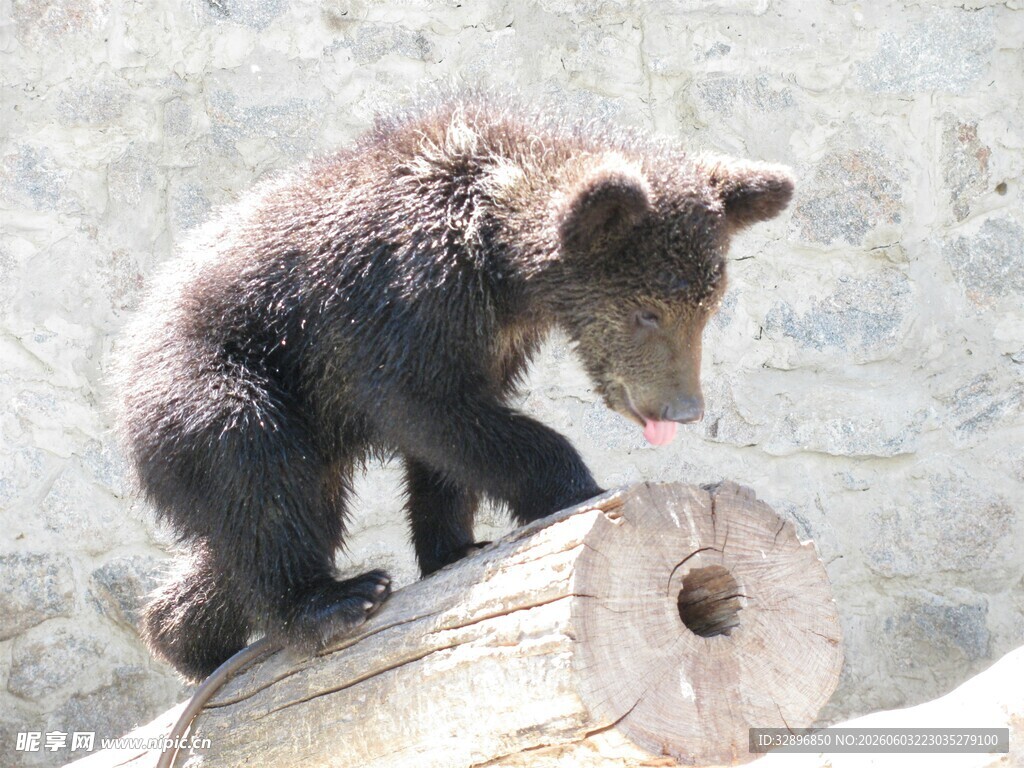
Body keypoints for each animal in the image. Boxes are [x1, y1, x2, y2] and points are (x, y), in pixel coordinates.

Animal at [114, 98, 793, 682]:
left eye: (706, 307)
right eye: (647, 313)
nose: (685, 408)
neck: (500, 262)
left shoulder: (491, 337)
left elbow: (447, 449)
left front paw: (456, 547)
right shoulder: (407, 293)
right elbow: (431, 407)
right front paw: (575, 485)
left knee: (271, 517)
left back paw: (188, 640)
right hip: (224, 377)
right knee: (258, 471)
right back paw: (330, 601)